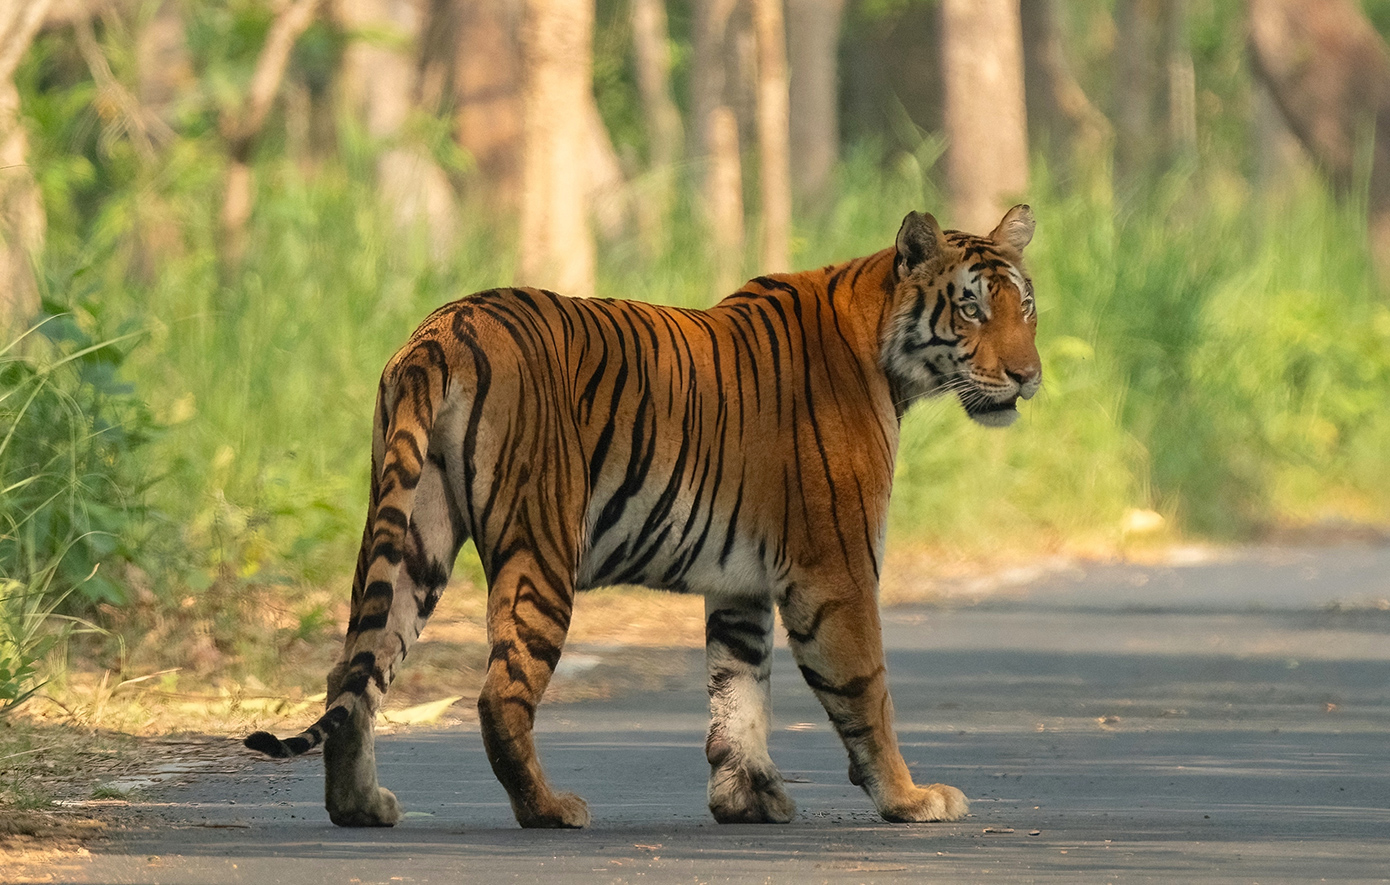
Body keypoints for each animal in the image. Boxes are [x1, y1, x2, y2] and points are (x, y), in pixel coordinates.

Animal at [244, 205, 1039, 828]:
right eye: (971, 307)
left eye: (1024, 307)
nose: (1028, 375)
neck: (884, 350)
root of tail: (445, 326)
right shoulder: (835, 569)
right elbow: (866, 690)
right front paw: (910, 799)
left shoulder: (743, 584)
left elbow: (738, 690)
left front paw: (746, 799)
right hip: (542, 545)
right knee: (499, 692)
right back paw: (549, 809)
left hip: (414, 531)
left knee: (352, 669)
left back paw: (360, 806)